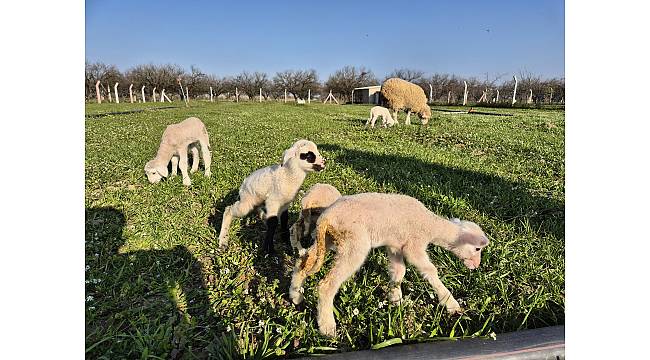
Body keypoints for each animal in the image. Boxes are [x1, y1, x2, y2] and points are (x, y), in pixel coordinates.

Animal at [288, 193, 486, 336]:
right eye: (477, 248)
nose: (476, 266)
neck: (430, 226)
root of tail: (326, 218)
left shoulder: (395, 245)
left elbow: (399, 271)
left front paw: (395, 299)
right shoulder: (414, 245)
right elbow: (430, 270)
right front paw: (451, 304)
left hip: (327, 240)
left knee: (302, 263)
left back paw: (296, 296)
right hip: (354, 243)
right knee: (326, 284)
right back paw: (327, 328)